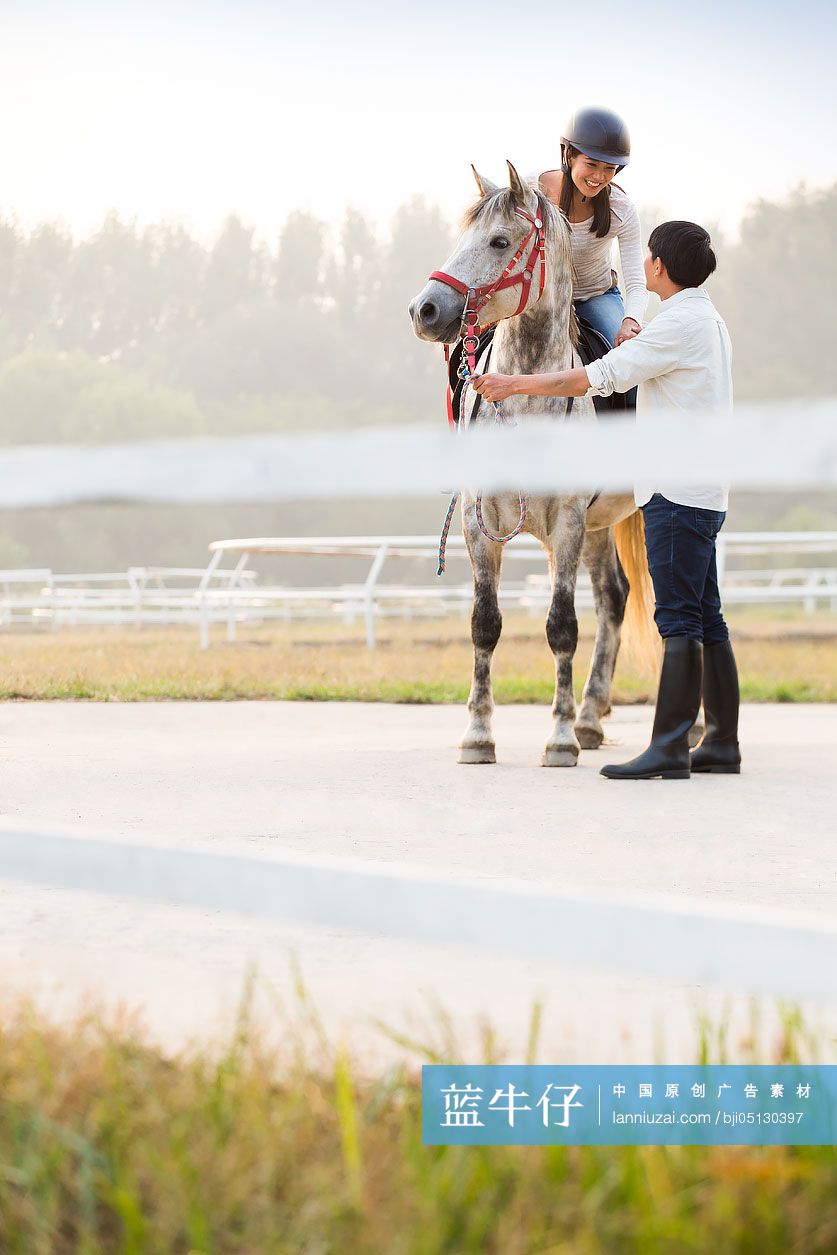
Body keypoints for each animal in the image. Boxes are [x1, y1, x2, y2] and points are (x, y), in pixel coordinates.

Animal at [409, 159, 657, 763]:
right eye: (462, 235)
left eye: (500, 241)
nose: (425, 310)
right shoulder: (479, 524)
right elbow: (485, 624)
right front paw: (477, 735)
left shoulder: (566, 523)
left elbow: (562, 626)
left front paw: (560, 739)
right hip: (599, 528)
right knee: (614, 599)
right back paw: (591, 717)